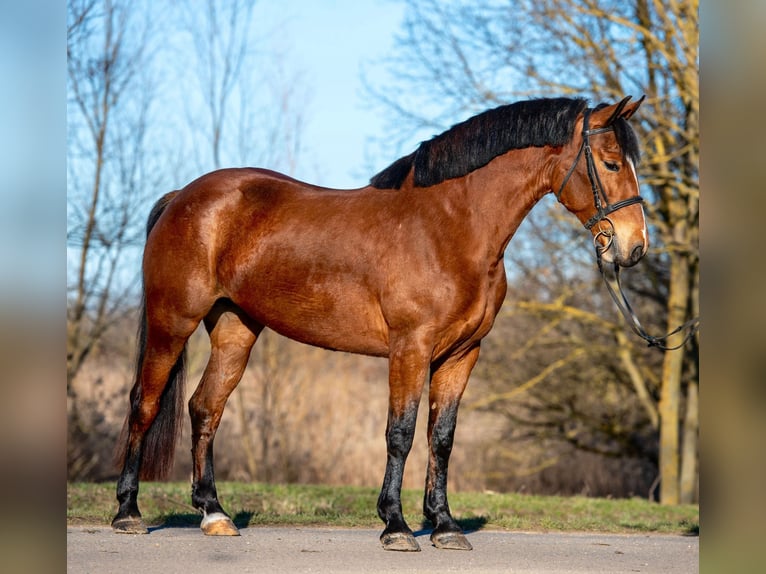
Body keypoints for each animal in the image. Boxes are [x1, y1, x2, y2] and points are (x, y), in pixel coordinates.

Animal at [112, 95, 647, 551]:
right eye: (612, 163)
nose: (634, 246)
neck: (449, 228)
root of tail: (184, 196)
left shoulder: (461, 355)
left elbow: (441, 437)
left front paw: (445, 525)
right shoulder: (410, 348)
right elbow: (401, 433)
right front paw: (396, 525)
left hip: (234, 329)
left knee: (205, 408)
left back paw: (214, 513)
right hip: (172, 320)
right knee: (145, 403)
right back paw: (128, 513)